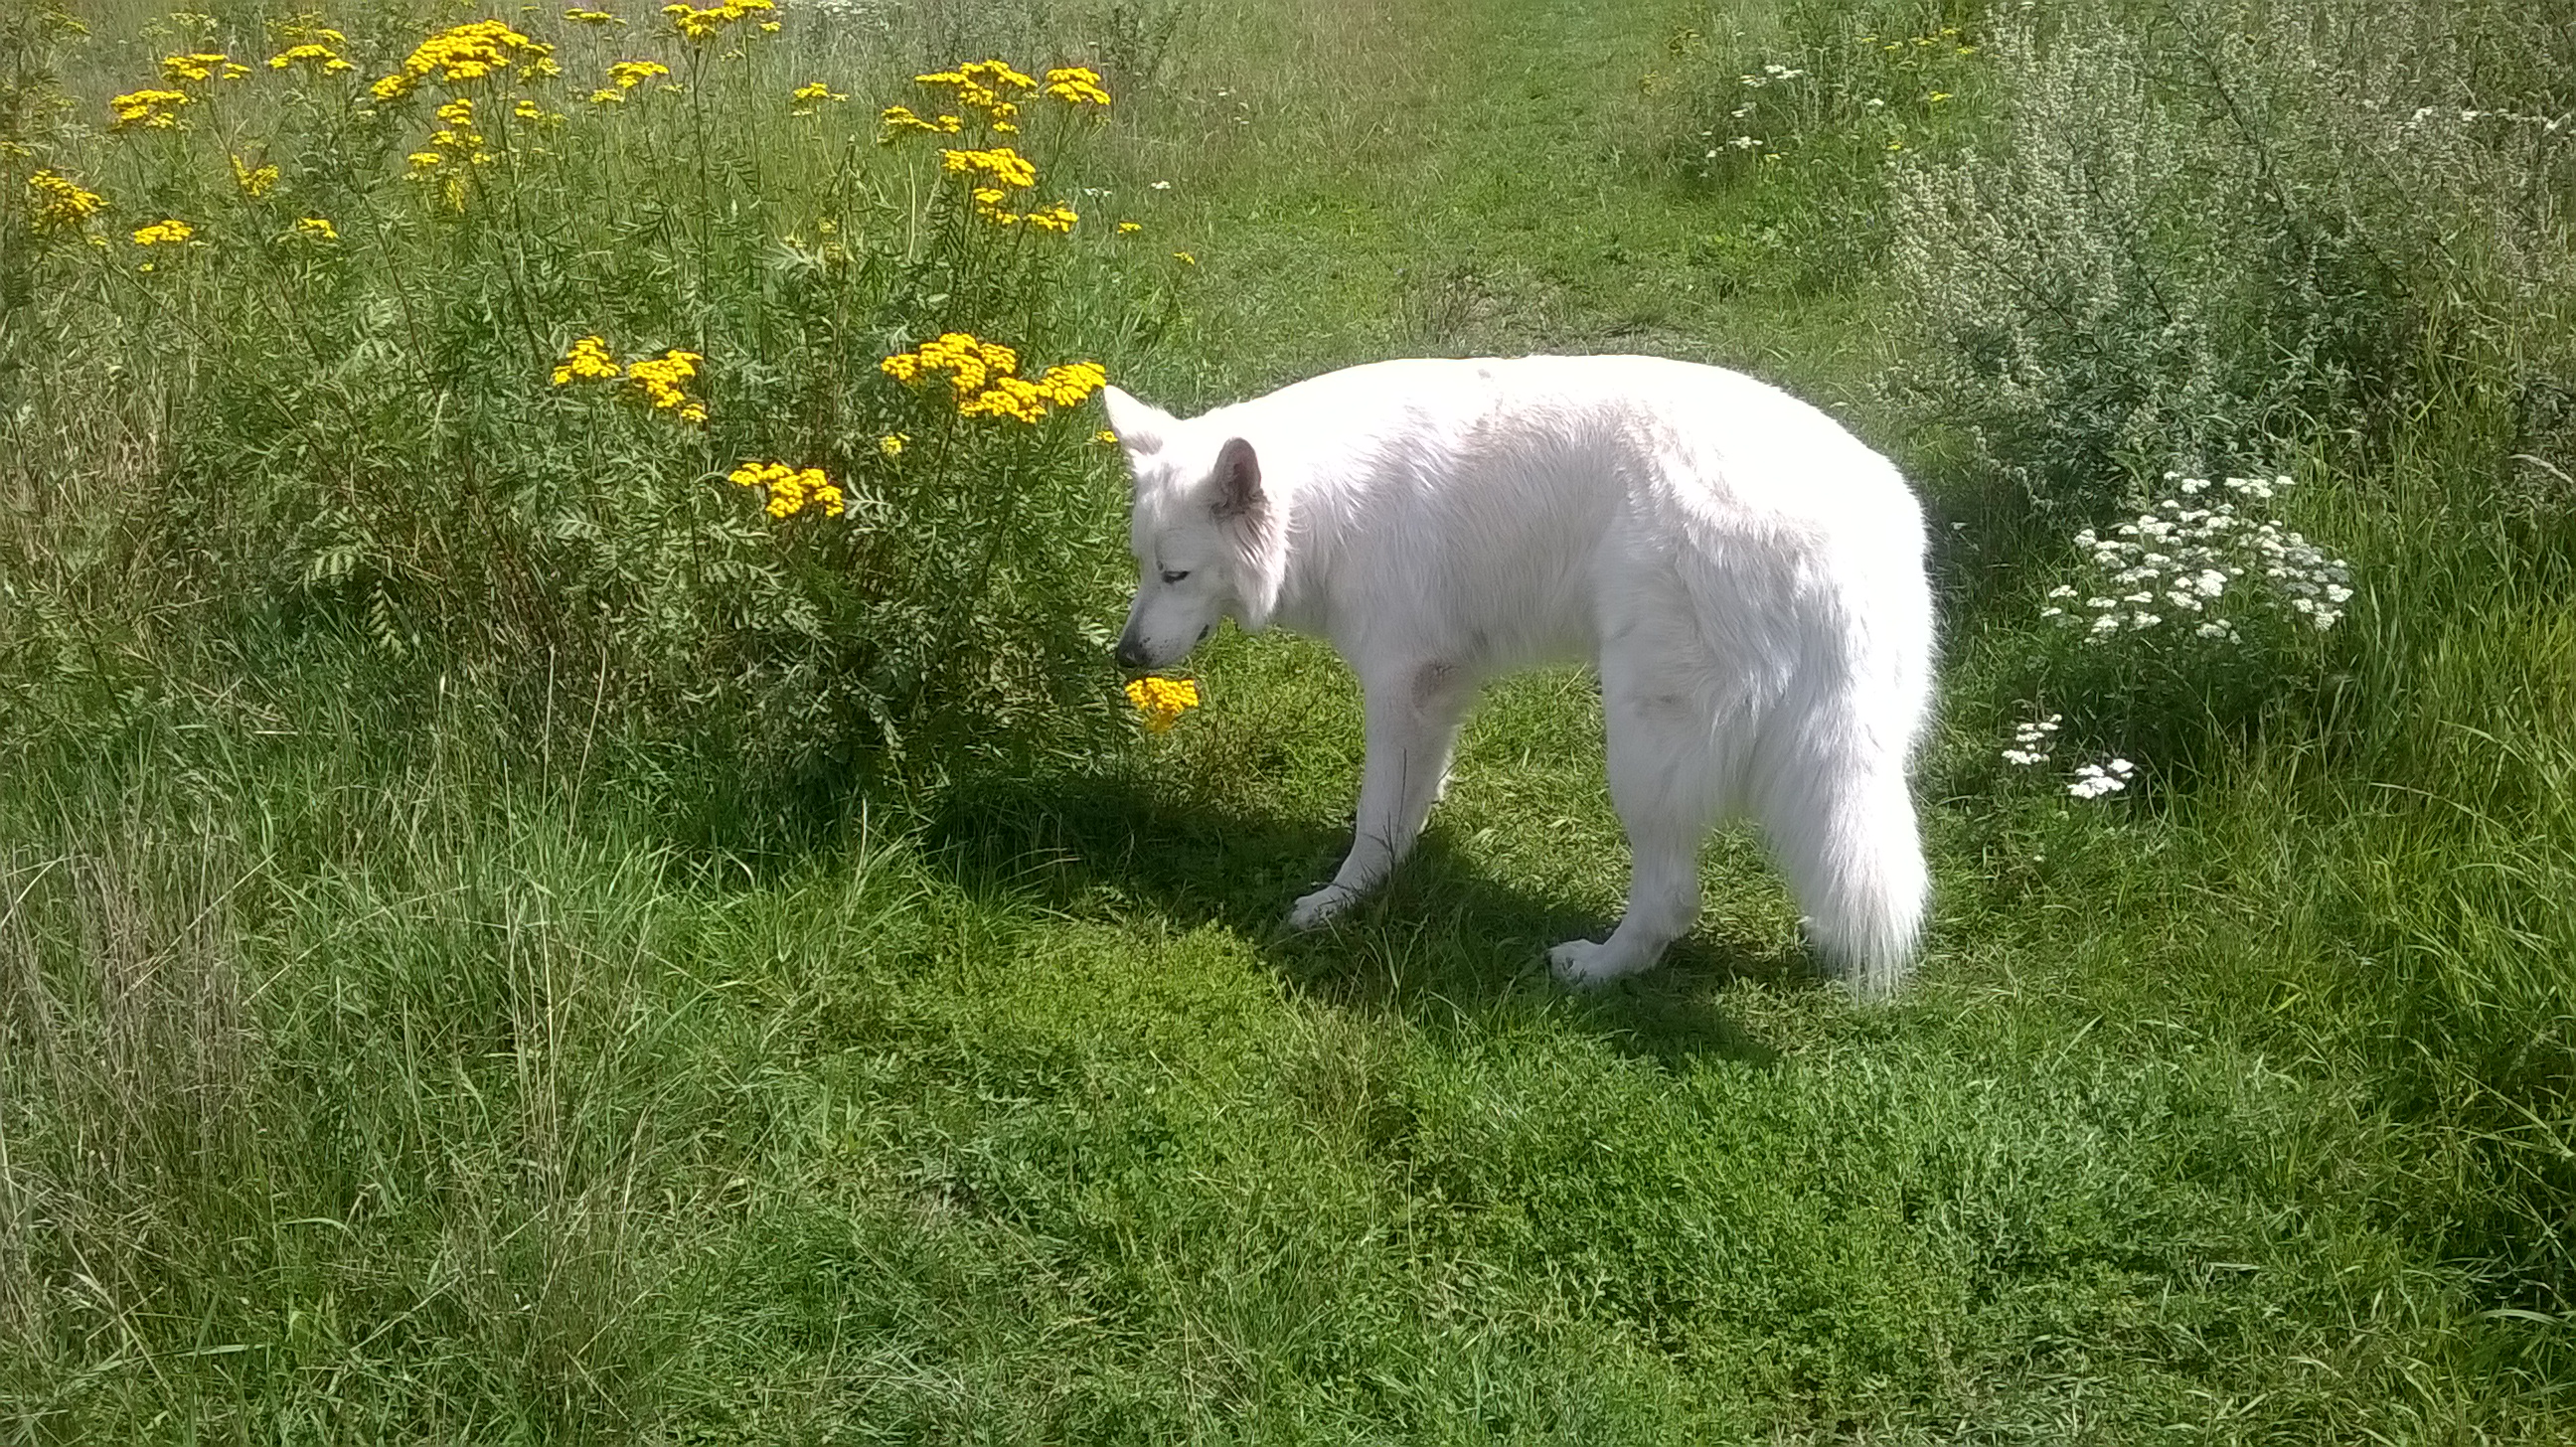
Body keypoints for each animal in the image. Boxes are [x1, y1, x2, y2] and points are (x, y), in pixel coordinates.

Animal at [1105, 355, 1934, 993]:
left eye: (1177, 574)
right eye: (1143, 566)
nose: (1125, 657)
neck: (1320, 504)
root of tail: (1843, 541)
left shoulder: (1400, 683)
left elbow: (1376, 819)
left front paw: (1341, 900)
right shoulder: (1437, 688)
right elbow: (1410, 798)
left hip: (1642, 747)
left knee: (1670, 898)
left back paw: (1597, 968)